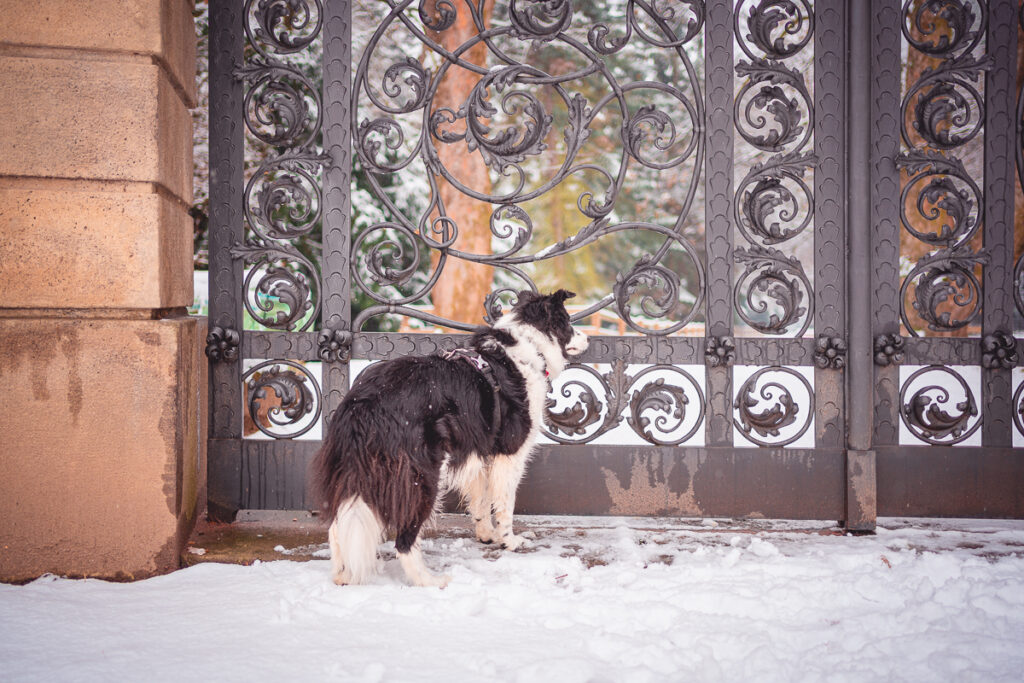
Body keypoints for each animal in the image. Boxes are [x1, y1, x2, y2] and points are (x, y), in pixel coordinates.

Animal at [311, 290, 589, 589]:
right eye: (568, 322)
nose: (588, 339)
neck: (527, 346)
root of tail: (361, 406)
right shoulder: (510, 453)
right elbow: (504, 503)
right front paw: (510, 541)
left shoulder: (481, 449)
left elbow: (481, 499)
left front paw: (486, 534)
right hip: (421, 475)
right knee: (404, 539)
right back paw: (429, 580)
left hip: (353, 470)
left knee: (337, 525)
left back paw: (342, 575)